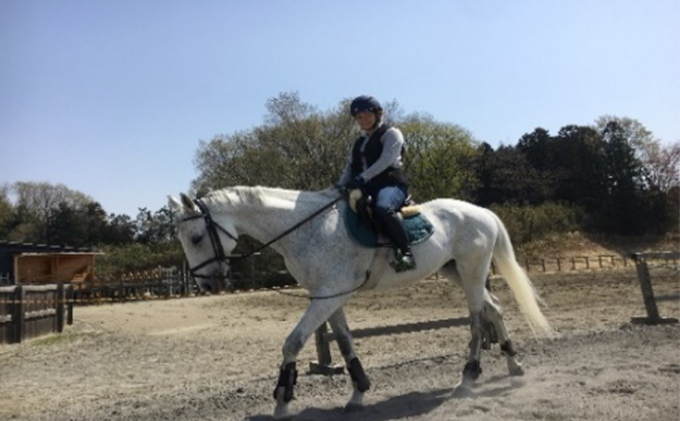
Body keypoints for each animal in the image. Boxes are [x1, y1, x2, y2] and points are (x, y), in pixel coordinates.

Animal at [168, 186, 555, 420]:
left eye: (197, 237)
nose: (207, 283)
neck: (306, 229)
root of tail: (482, 212)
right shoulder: (329, 296)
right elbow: (343, 341)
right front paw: (358, 392)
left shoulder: (328, 295)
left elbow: (293, 342)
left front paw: (282, 399)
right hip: (457, 273)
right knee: (494, 309)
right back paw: (513, 365)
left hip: (472, 272)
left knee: (476, 319)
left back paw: (469, 377)